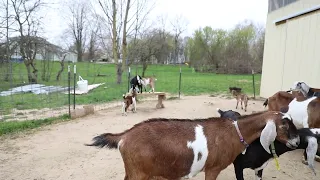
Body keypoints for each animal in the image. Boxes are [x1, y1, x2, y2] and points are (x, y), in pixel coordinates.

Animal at [85, 110, 300, 179]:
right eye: (284, 124)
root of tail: (124, 136)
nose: (298, 141)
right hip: (139, 173)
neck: (233, 132)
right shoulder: (212, 169)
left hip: (134, 172)